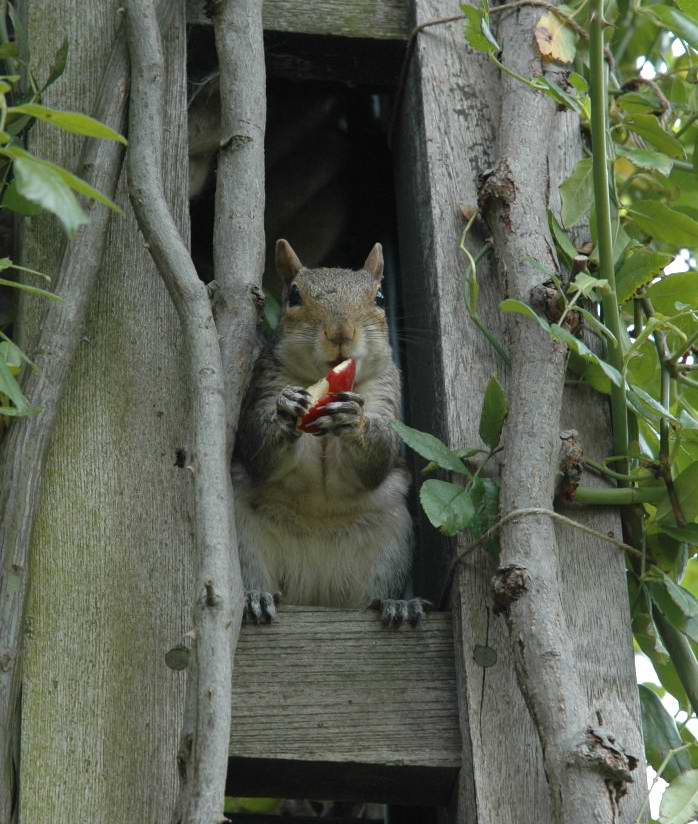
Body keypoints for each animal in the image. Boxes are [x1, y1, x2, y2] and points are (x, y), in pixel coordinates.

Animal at [231, 238, 426, 624]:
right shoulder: (264, 383)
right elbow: (259, 445)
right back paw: (257, 598)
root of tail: (314, 598)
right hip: (247, 538)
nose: (340, 333)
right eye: (293, 295)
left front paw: (354, 420)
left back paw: (396, 605)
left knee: (372, 595)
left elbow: (377, 458)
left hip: (390, 545)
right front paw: (286, 410)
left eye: (380, 297)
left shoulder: (385, 392)